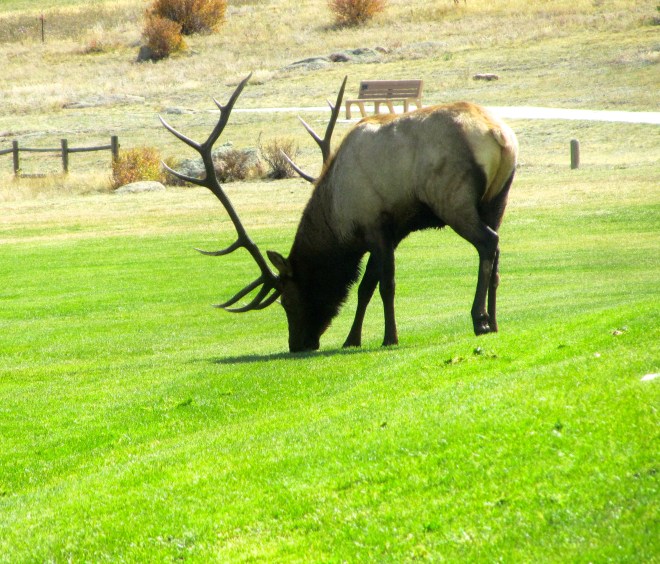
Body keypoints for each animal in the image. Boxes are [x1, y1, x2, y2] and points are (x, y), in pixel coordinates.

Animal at [161, 74, 518, 353]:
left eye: (286, 300)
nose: (298, 344)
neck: (338, 217)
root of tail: (499, 136)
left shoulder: (376, 224)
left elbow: (385, 284)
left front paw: (389, 337)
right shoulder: (388, 232)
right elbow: (365, 287)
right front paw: (352, 339)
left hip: (452, 199)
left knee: (488, 243)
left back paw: (479, 320)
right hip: (496, 200)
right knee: (497, 251)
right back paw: (495, 321)